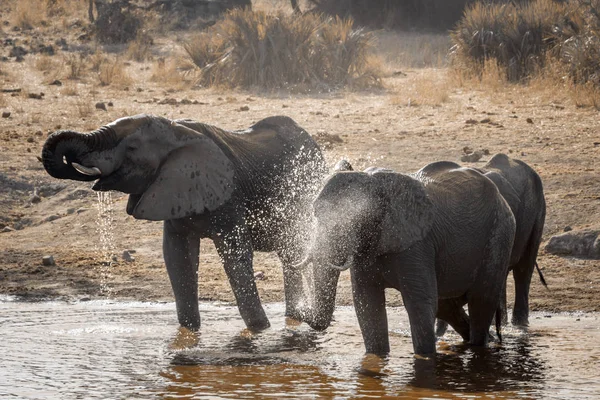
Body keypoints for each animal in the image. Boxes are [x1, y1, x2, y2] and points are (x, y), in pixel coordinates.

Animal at [41, 115, 328, 332]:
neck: (177, 130)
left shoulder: (228, 196)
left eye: (132, 149)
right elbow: (177, 256)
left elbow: (236, 256)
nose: (71, 162)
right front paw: (189, 332)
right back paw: (293, 318)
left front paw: (260, 331)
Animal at [296, 162, 516, 356]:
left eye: (356, 218)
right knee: (447, 306)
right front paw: (377, 357)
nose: (298, 306)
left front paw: (425, 359)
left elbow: (419, 303)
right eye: (315, 212)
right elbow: (367, 304)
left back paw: (479, 347)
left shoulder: (417, 244)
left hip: (499, 235)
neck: (376, 182)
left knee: (481, 300)